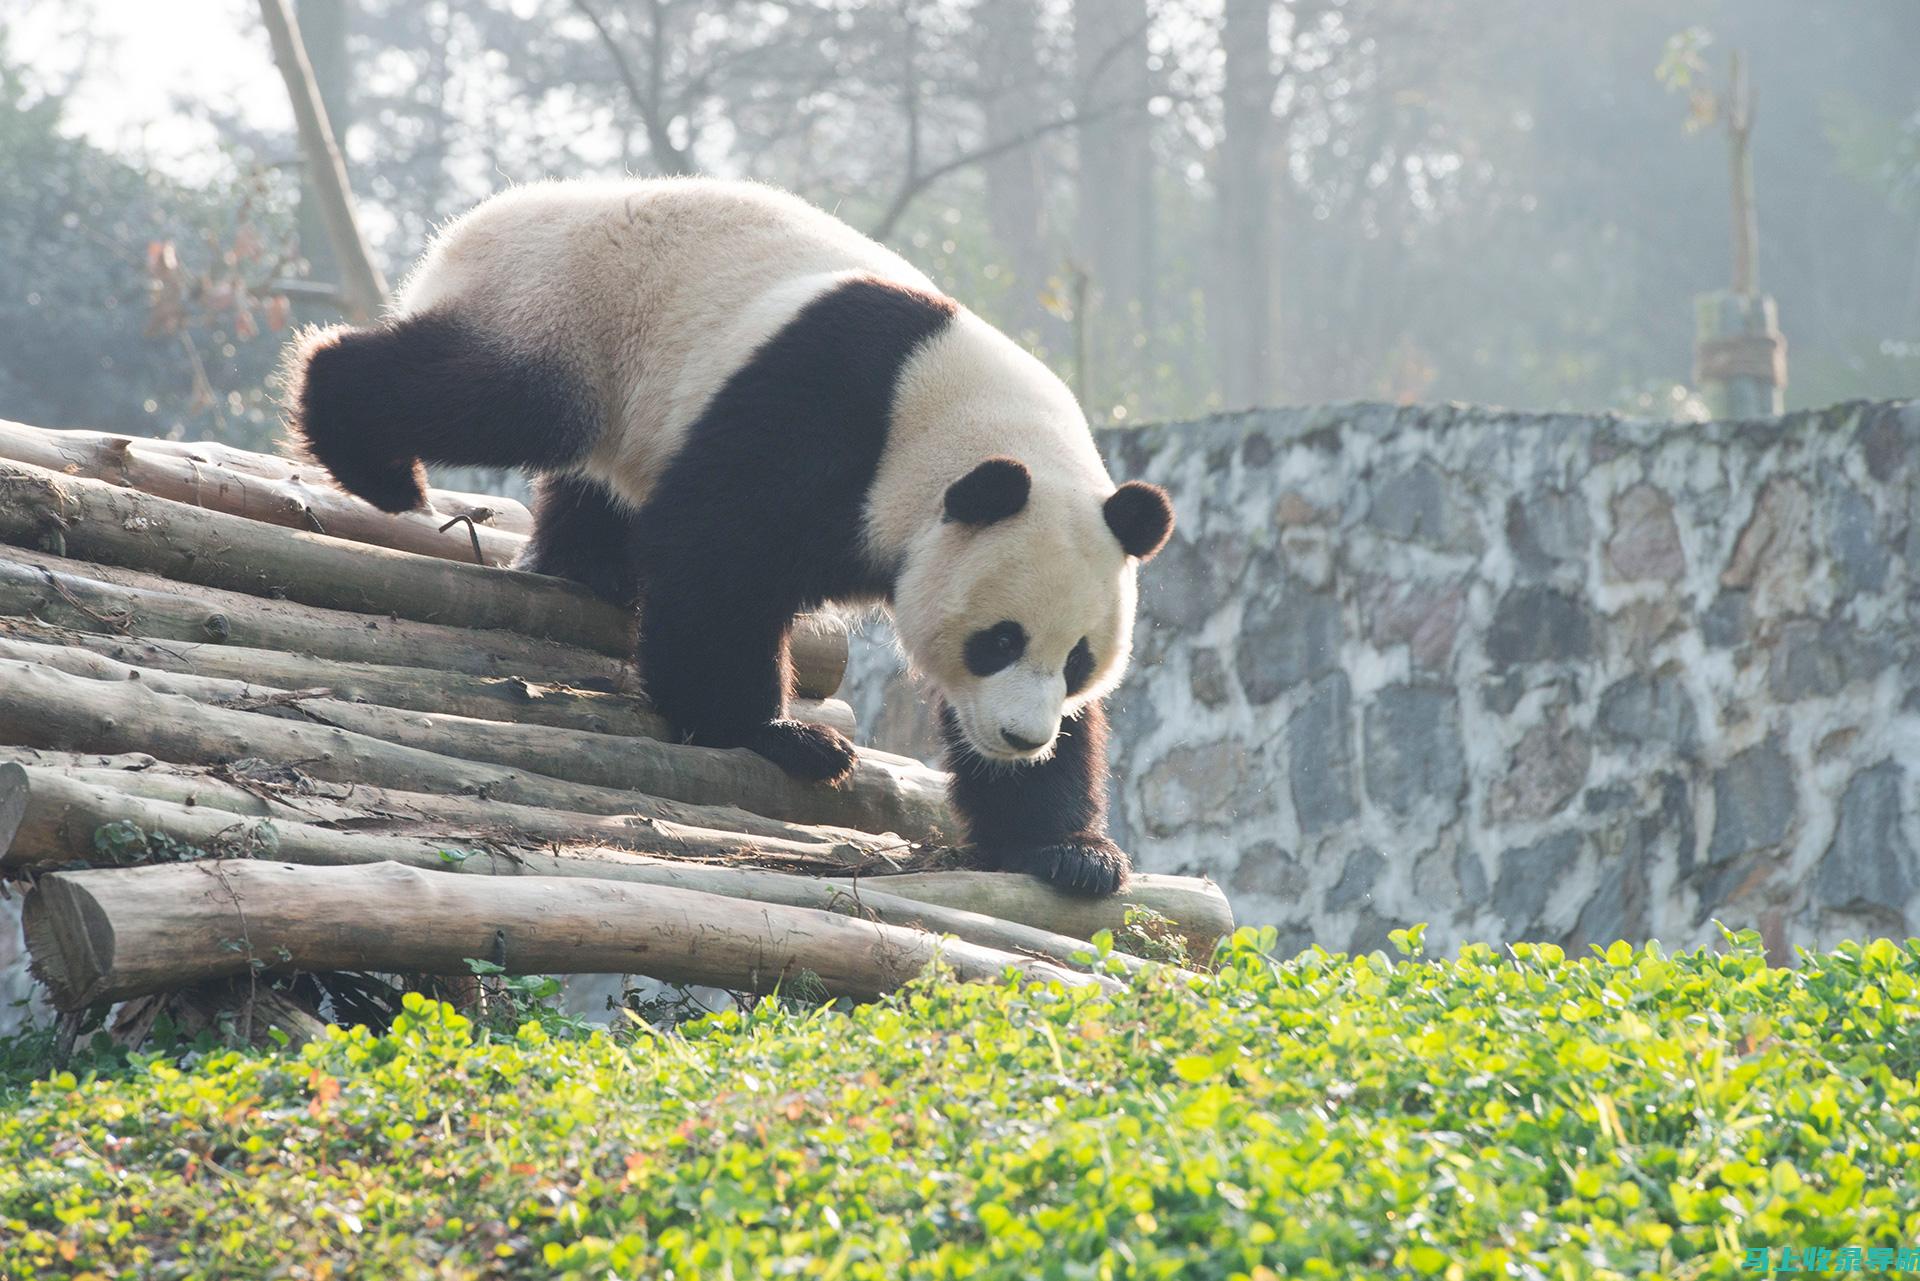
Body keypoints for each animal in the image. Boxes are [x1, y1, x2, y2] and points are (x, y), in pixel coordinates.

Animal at [280, 177, 1167, 902]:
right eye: (998, 639)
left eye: (1077, 658)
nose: (1021, 737)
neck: (954, 428)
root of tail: (469, 226)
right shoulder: (829, 414)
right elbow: (717, 553)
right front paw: (775, 733)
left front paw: (1068, 849)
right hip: (569, 312)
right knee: (493, 397)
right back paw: (372, 457)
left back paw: (587, 570)